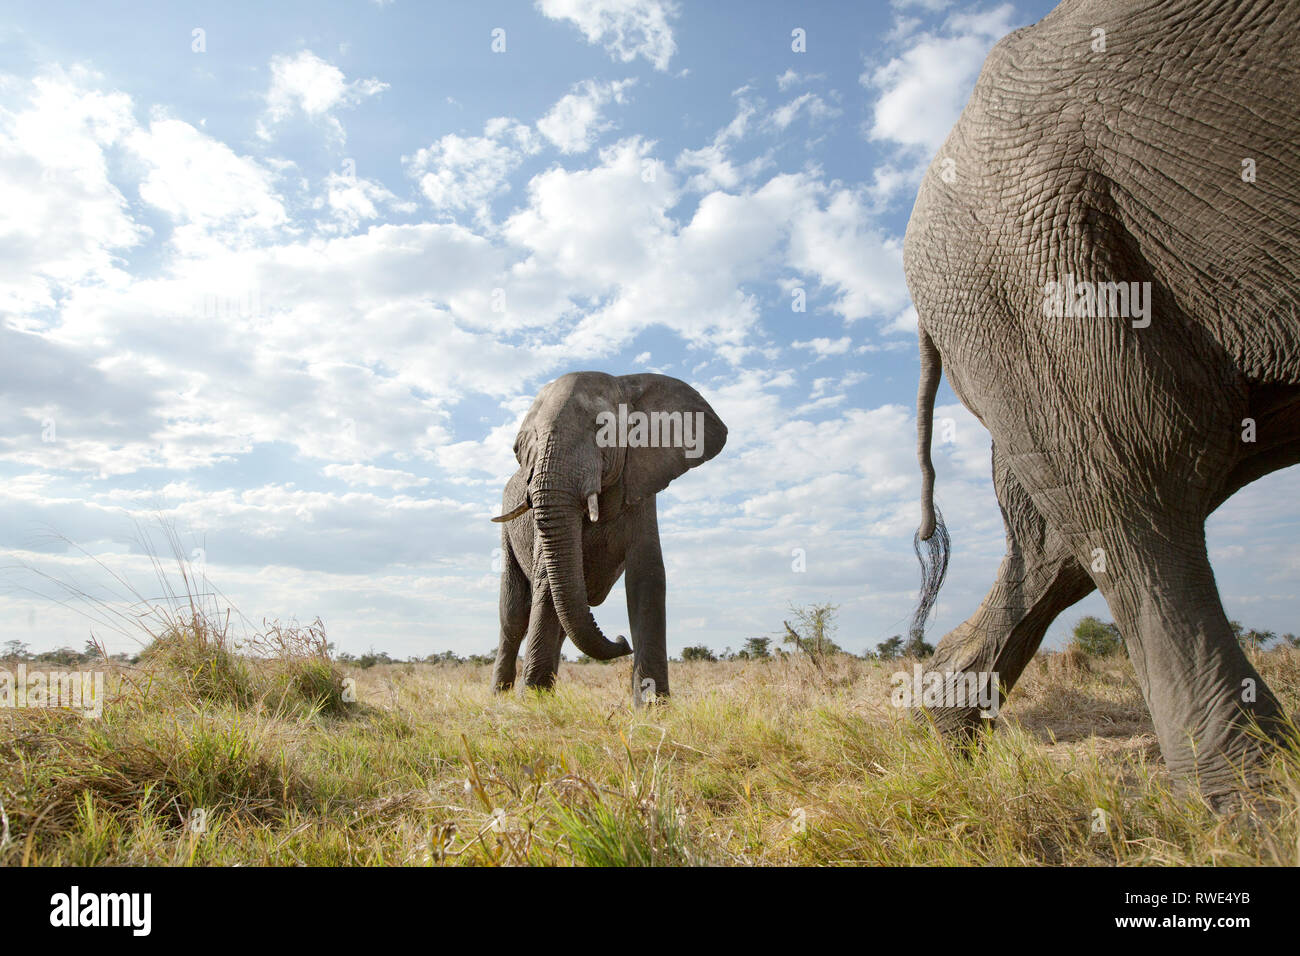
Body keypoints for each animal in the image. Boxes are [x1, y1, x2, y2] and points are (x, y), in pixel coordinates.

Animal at [488, 374, 728, 702]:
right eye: (524, 445)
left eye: (601, 429)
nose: (622, 641)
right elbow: (546, 580)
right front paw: (531, 703)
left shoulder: (641, 484)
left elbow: (646, 576)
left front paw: (653, 705)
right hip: (506, 537)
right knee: (513, 616)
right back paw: (499, 697)